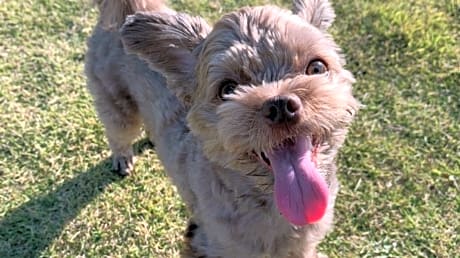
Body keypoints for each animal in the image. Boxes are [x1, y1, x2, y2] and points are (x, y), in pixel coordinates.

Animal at [85, 0, 360, 256]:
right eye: (228, 89)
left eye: (317, 67)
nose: (280, 105)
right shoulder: (212, 242)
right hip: (117, 104)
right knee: (118, 133)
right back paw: (122, 158)